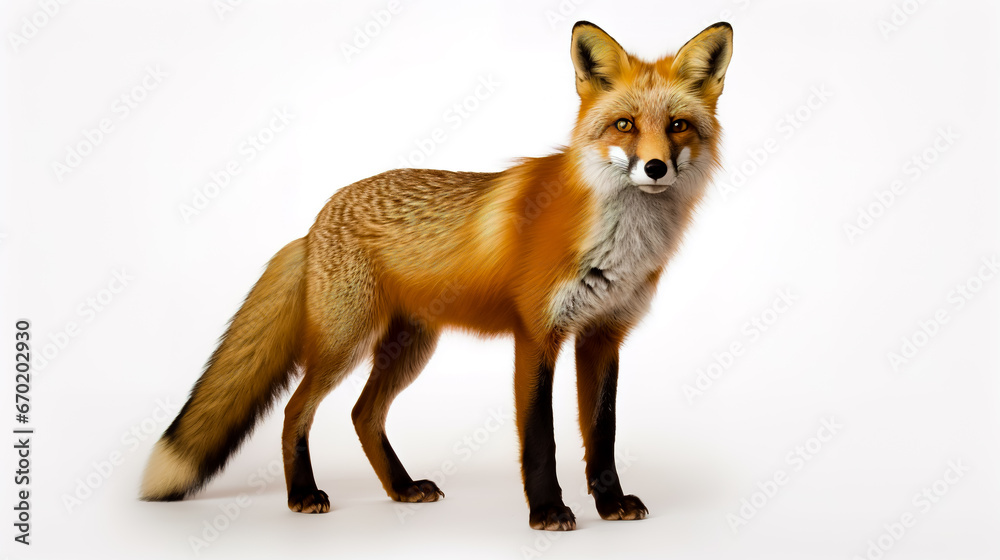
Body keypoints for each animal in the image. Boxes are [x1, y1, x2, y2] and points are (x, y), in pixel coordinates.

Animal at [141, 21, 733, 531]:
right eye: (625, 125)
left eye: (678, 126)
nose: (655, 168)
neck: (618, 243)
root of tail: (313, 225)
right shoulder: (536, 335)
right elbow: (541, 437)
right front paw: (546, 511)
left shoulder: (603, 335)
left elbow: (602, 433)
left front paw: (610, 505)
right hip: (343, 343)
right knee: (295, 411)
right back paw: (302, 494)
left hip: (410, 347)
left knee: (363, 414)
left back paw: (401, 489)